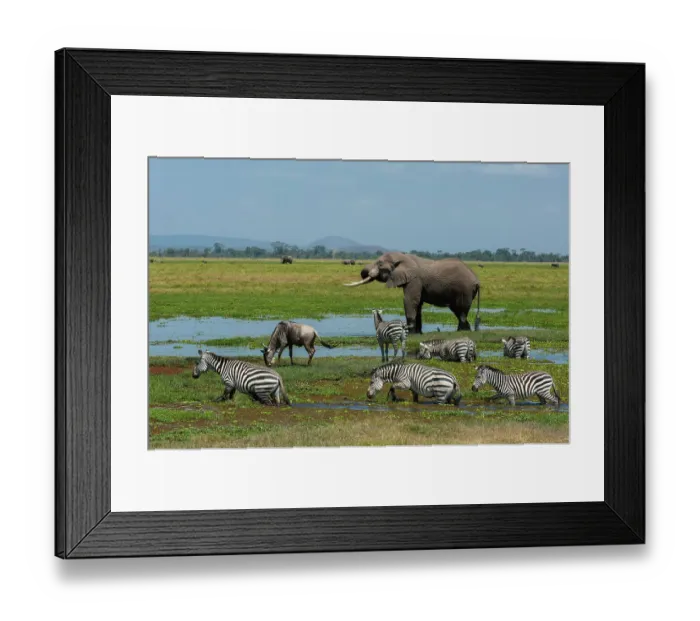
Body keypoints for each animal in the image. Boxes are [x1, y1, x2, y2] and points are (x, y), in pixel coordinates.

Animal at [344, 252, 481, 334]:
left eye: (380, 264)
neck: (404, 257)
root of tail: (477, 280)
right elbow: (418, 304)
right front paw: (418, 333)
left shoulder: (414, 280)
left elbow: (410, 300)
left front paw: (411, 333)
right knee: (458, 311)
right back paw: (465, 331)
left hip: (464, 291)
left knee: (461, 311)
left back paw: (461, 331)